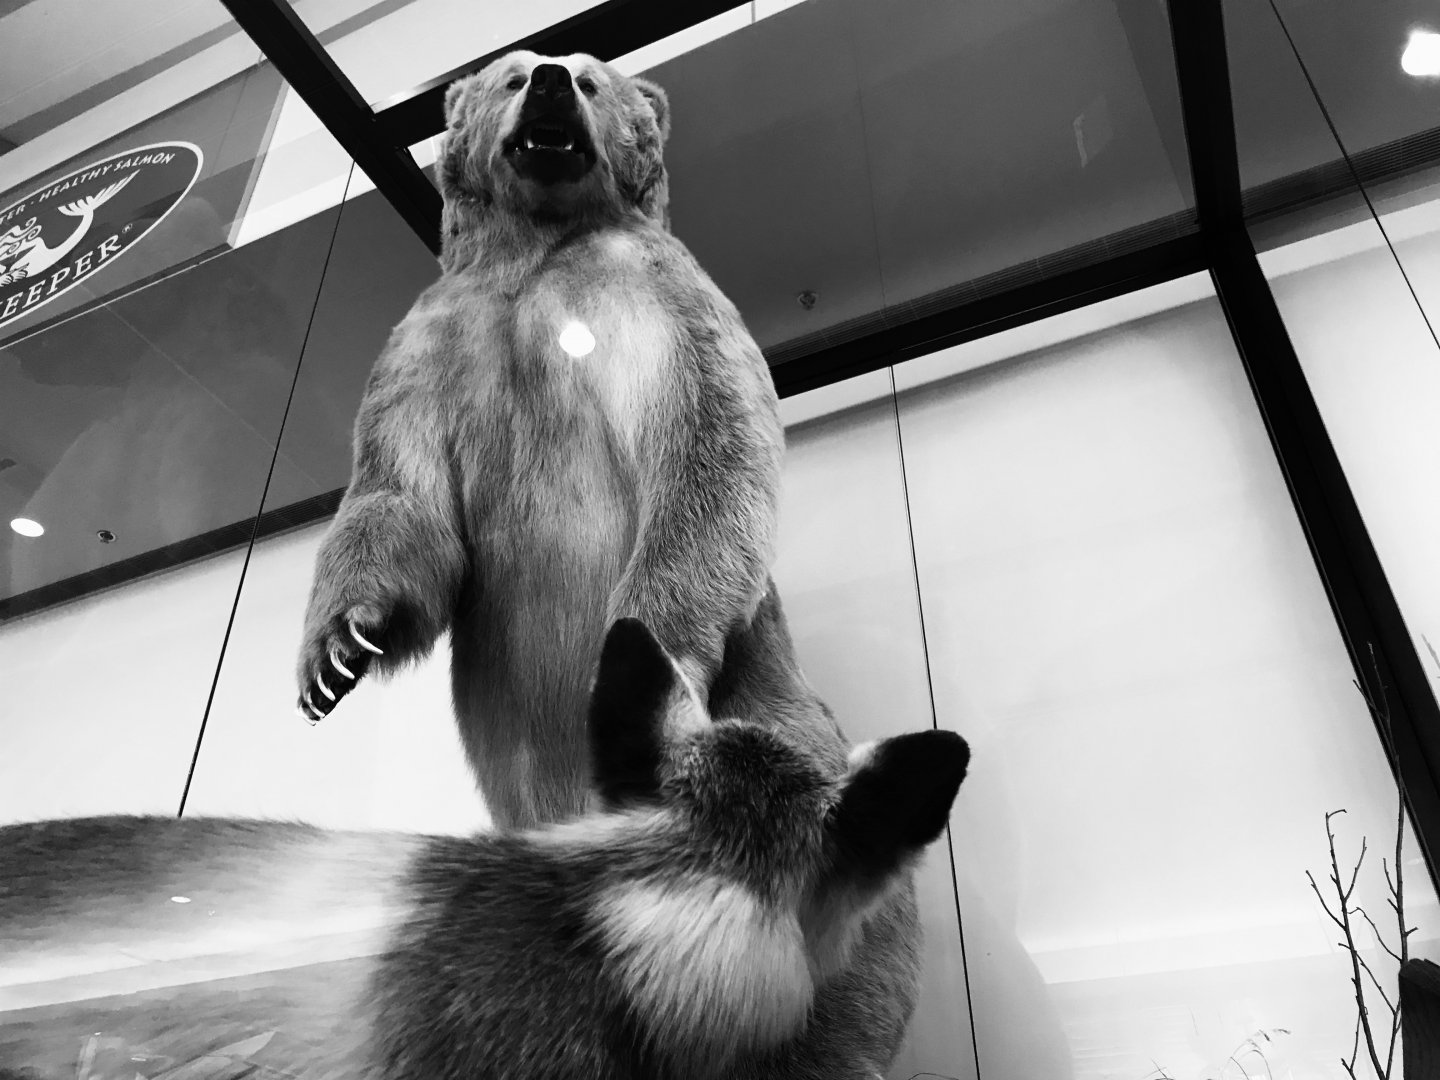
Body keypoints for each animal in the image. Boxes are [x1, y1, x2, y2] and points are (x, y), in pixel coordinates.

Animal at [295, 51, 783, 831]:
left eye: (591, 80)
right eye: (510, 77)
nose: (551, 78)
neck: (535, 246)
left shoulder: (648, 292)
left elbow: (708, 430)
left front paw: (637, 660)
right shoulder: (430, 343)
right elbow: (398, 488)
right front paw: (335, 656)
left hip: (761, 691)